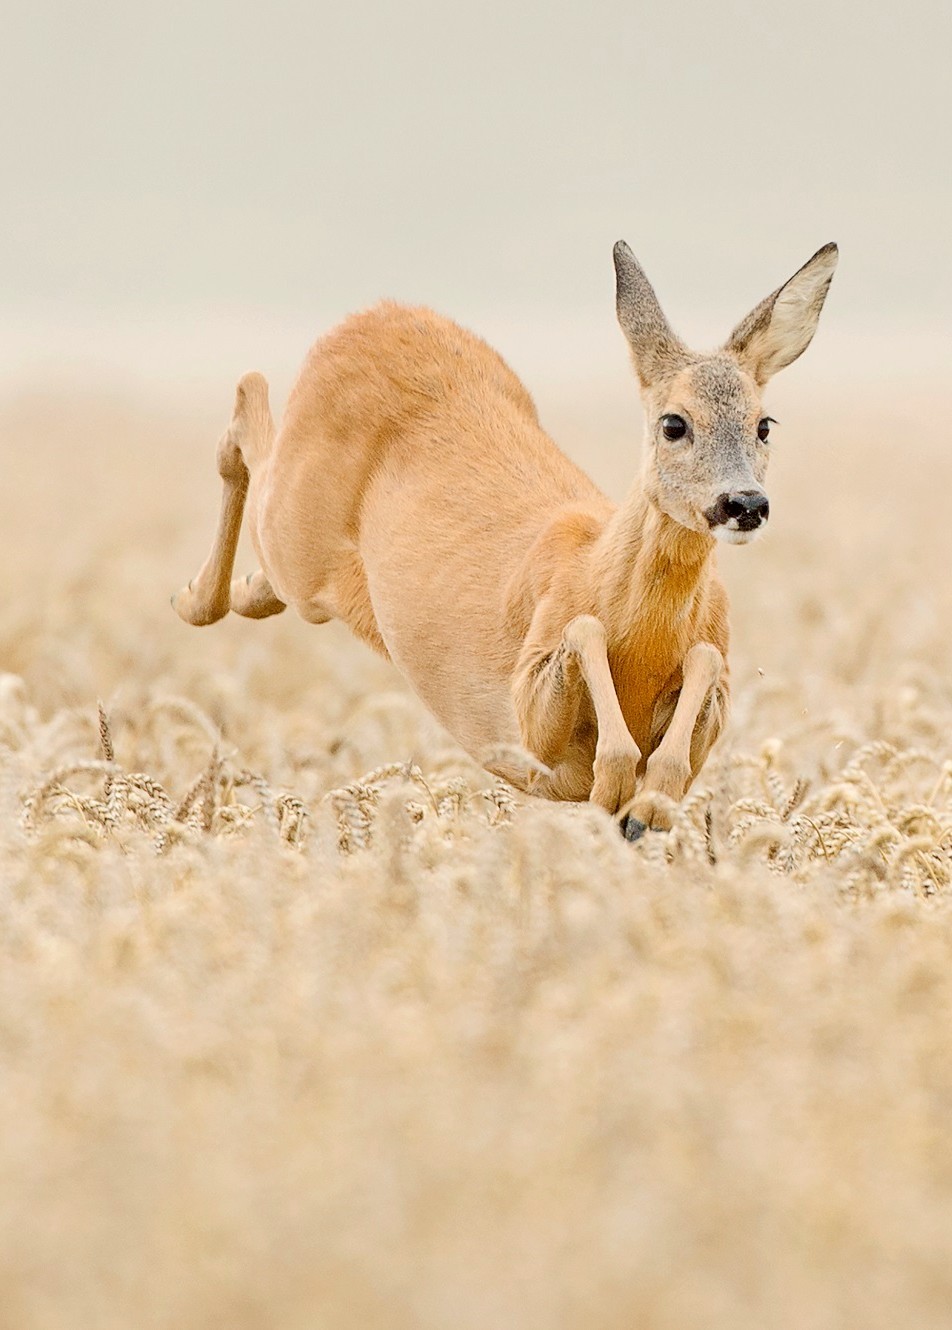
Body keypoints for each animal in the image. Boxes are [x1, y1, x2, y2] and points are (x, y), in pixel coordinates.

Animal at [174, 240, 834, 840]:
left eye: (764, 424)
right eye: (675, 423)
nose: (743, 504)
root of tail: (364, 318)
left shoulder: (709, 706)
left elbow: (700, 675)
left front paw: (642, 810)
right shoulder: (530, 717)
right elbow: (581, 637)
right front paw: (615, 782)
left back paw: (237, 591)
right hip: (294, 524)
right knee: (245, 412)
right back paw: (188, 596)